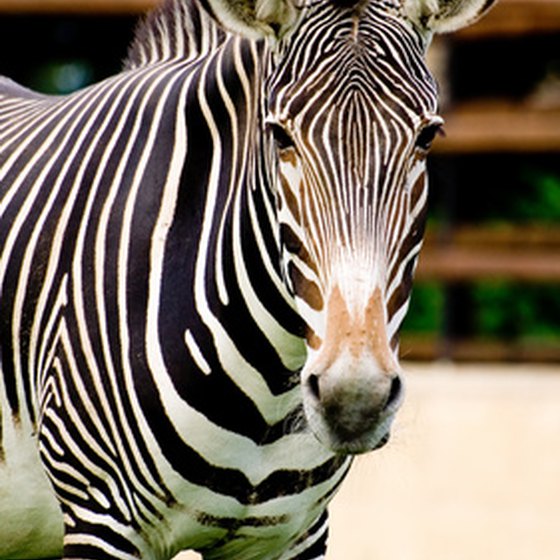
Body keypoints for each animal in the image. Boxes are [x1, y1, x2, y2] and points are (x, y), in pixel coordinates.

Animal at [0, 0, 494, 556]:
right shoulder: (101, 515)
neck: (267, 397)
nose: (354, 399)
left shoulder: (293, 533)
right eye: (279, 135)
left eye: (428, 136)